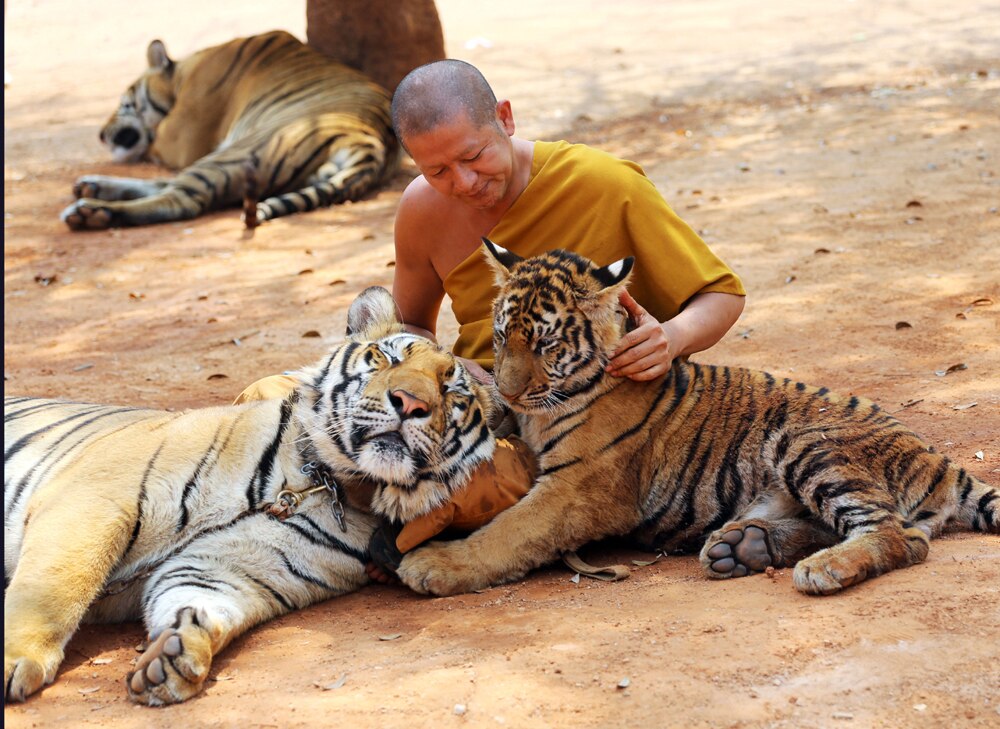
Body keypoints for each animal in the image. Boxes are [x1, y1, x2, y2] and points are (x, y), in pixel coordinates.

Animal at [2, 286, 496, 704]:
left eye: (450, 389)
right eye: (384, 358)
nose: (410, 402)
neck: (327, 480)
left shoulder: (232, 565)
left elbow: (199, 598)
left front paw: (177, 654)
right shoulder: (96, 498)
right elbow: (51, 591)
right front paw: (13, 660)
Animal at [59, 30, 398, 230]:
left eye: (123, 103)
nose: (101, 134)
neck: (182, 74)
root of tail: (372, 143)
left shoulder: (181, 138)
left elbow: (152, 145)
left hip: (239, 152)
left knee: (180, 199)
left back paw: (90, 212)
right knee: (166, 185)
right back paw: (92, 187)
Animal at [394, 242, 996, 596]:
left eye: (543, 343)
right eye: (501, 337)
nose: (511, 391)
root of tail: (941, 461)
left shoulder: (576, 488)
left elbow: (509, 530)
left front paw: (433, 565)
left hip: (810, 441)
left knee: (901, 535)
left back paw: (819, 569)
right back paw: (746, 546)